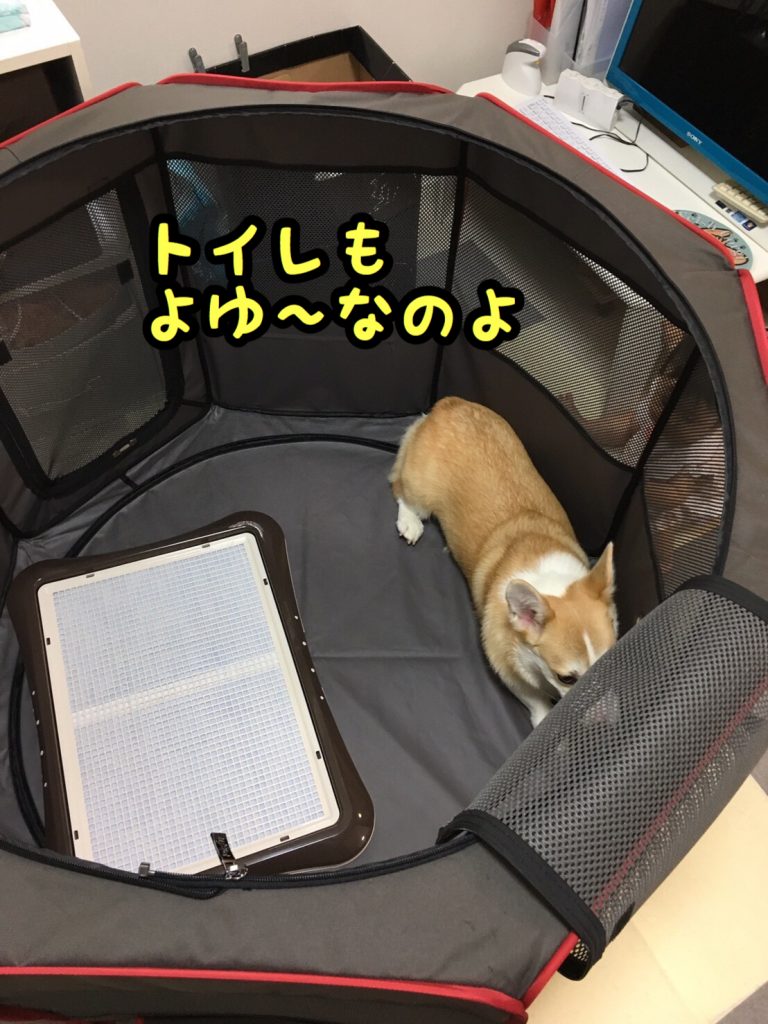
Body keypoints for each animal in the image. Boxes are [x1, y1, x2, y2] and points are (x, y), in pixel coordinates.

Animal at [389, 397, 617, 726]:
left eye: (610, 660)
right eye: (566, 679)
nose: (605, 719)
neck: (550, 580)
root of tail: (448, 405)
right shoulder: (506, 663)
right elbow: (534, 698)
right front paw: (545, 721)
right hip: (420, 490)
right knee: (402, 492)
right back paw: (409, 523)